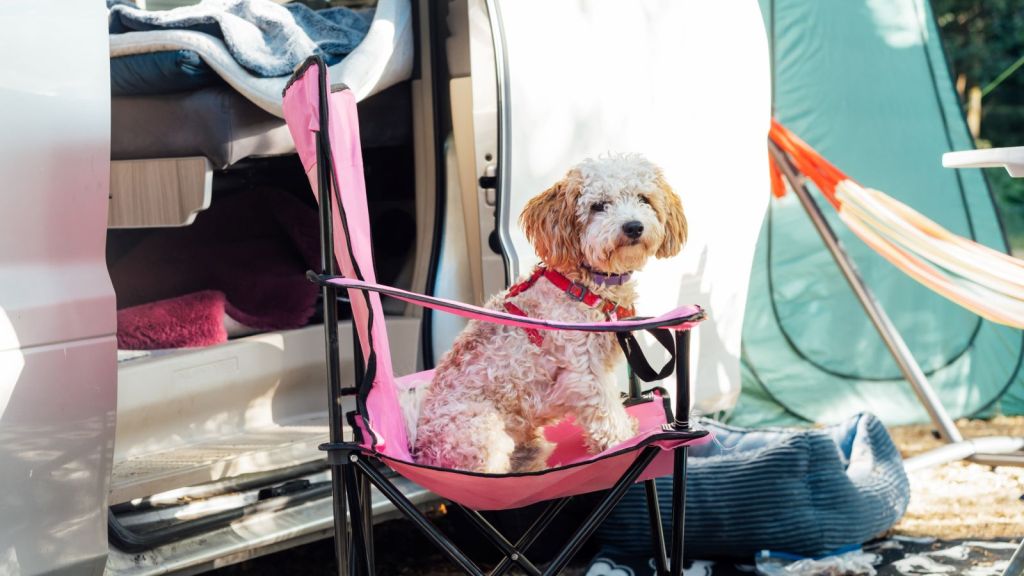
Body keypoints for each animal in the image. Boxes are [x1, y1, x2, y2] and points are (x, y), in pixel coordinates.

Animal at [409, 152, 688, 471]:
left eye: (644, 198)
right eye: (598, 206)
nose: (633, 226)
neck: (583, 285)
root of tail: (420, 448)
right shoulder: (584, 373)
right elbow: (606, 411)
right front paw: (622, 440)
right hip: (484, 436)